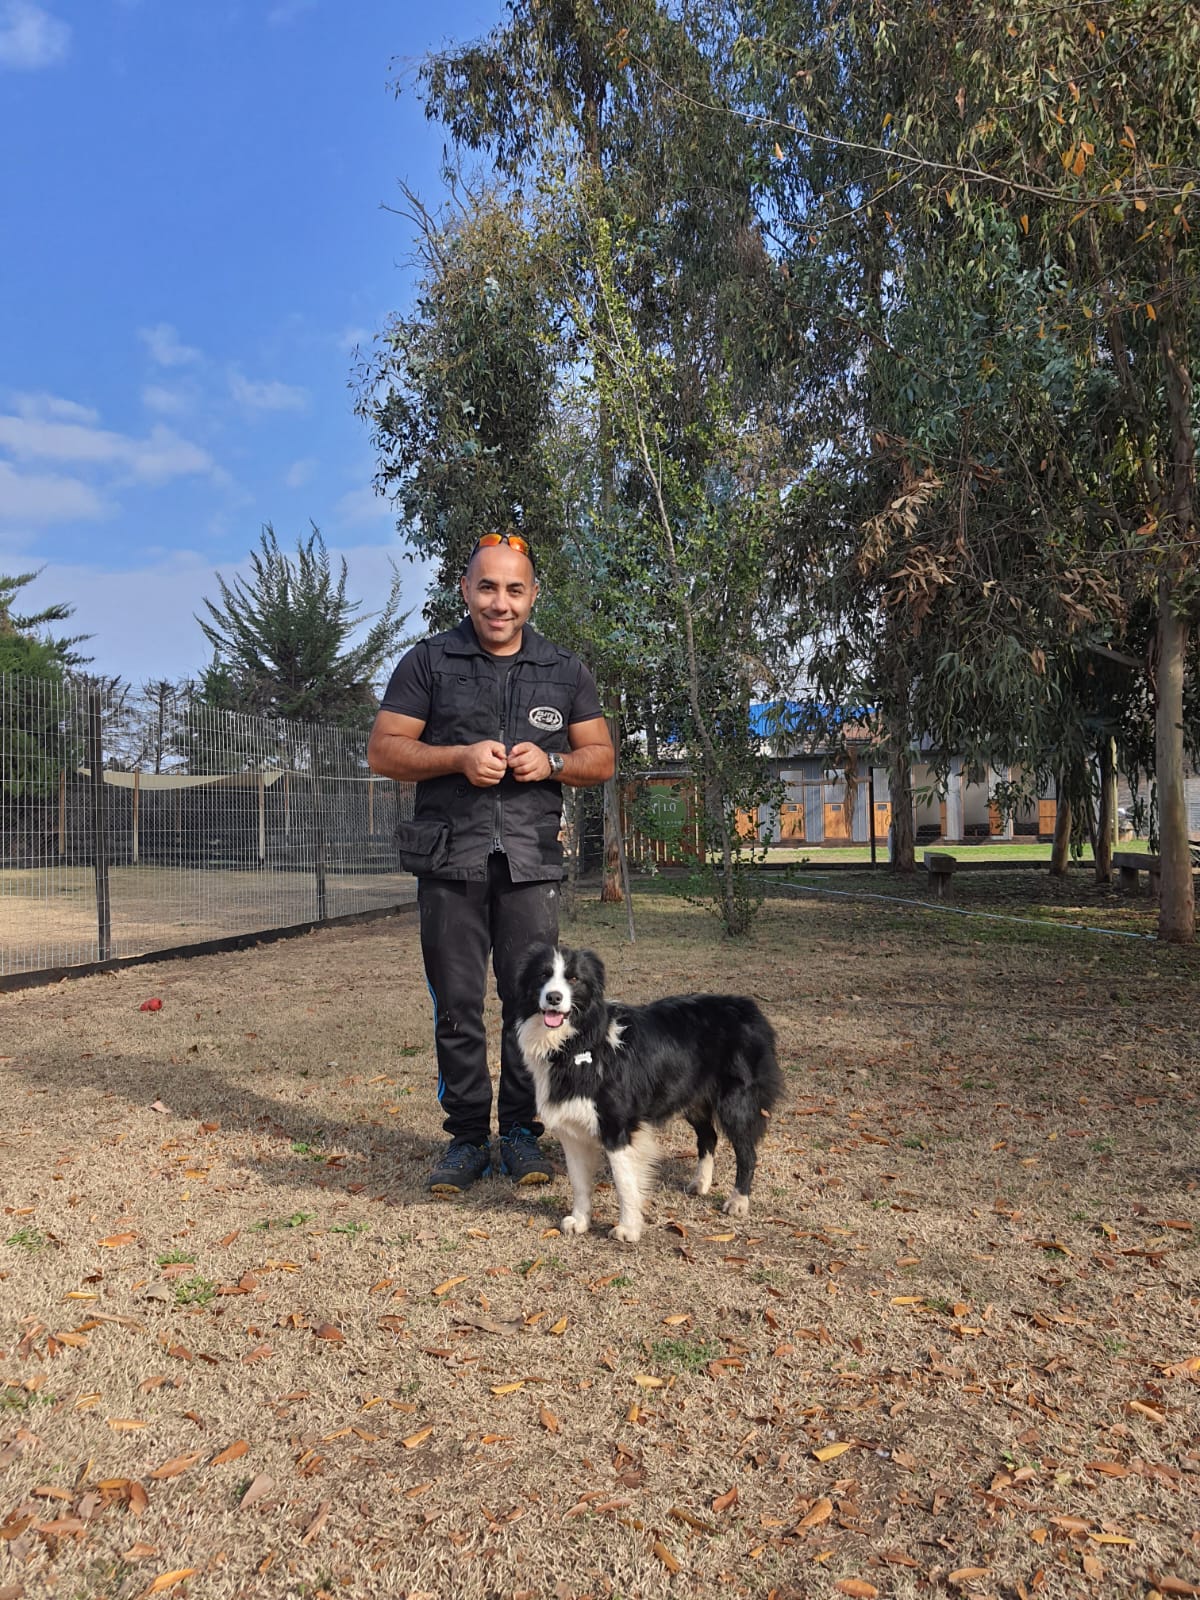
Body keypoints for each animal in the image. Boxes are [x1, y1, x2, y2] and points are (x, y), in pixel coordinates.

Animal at [515, 940, 780, 1241]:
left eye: (573, 979)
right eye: (543, 976)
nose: (554, 998)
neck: (576, 1042)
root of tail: (749, 1008)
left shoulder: (617, 1126)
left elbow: (624, 1182)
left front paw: (628, 1228)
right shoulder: (572, 1127)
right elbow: (579, 1181)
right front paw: (580, 1222)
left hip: (737, 1101)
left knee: (747, 1151)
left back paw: (738, 1200)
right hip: (693, 1097)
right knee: (709, 1137)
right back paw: (701, 1183)